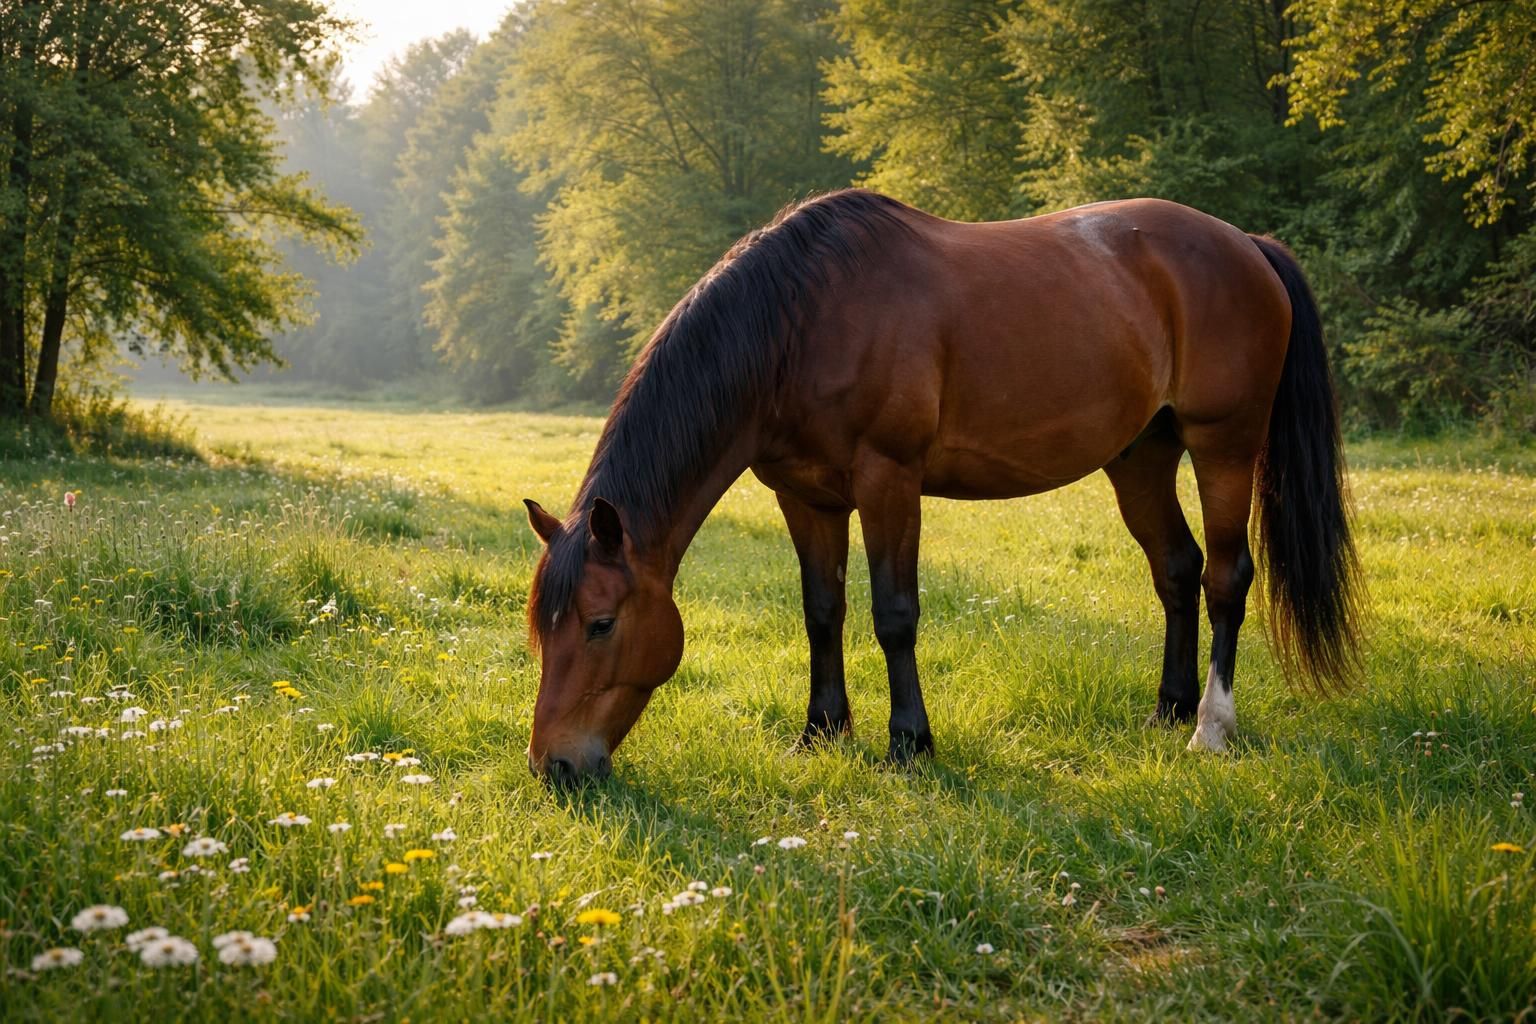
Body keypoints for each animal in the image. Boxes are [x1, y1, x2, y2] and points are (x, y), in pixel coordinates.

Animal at [522, 189, 1361, 785]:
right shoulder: (806, 496)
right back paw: (1168, 709)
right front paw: (821, 732)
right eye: (542, 627)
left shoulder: (888, 479)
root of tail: (1247, 245)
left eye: (600, 624)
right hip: (1141, 457)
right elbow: (822, 611)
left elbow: (894, 614)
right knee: (1177, 570)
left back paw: (1209, 728)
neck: (801, 323)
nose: (554, 766)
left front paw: (909, 743)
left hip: (1224, 444)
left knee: (1225, 576)